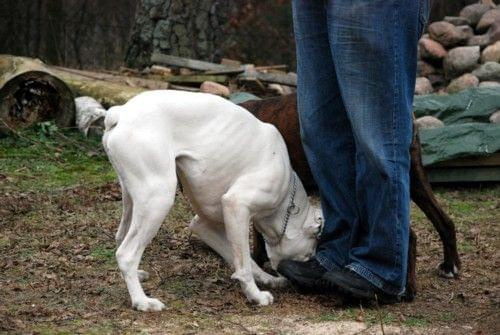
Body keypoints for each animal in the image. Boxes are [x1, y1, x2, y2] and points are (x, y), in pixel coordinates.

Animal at [103, 90, 322, 312]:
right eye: (308, 256)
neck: (286, 198)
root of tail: (120, 112)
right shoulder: (236, 206)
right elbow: (244, 264)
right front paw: (255, 295)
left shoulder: (204, 225)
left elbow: (244, 260)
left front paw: (267, 279)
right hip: (158, 200)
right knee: (126, 254)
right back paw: (142, 301)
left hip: (133, 200)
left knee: (121, 238)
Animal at [240, 94, 458, 302]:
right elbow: (258, 231)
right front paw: (259, 257)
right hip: (414, 177)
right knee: (444, 221)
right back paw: (450, 265)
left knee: (409, 234)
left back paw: (408, 288)